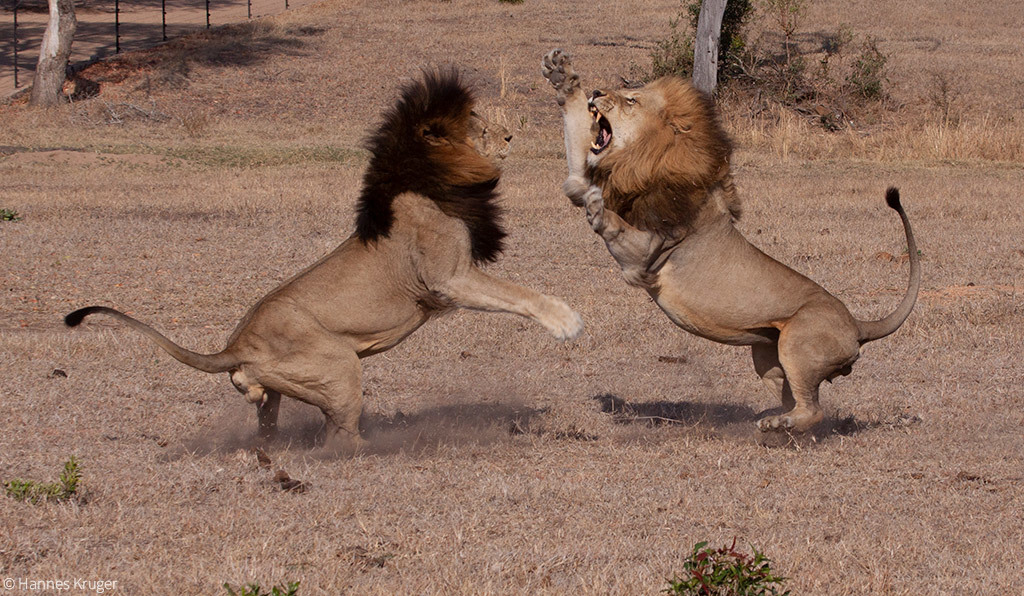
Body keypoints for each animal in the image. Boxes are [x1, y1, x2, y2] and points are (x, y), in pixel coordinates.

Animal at [68, 69, 585, 452]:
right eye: (478, 125)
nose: (511, 136)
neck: (429, 177)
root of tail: (236, 346)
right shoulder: (450, 277)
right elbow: (518, 294)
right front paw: (565, 321)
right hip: (340, 368)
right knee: (338, 440)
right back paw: (387, 447)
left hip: (276, 391)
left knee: (272, 426)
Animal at [544, 50, 921, 434]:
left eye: (631, 99)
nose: (596, 92)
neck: (640, 163)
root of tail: (857, 324)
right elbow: (576, 145)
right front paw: (563, 78)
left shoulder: (649, 254)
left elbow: (615, 223)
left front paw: (596, 206)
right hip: (768, 358)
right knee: (799, 400)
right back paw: (773, 419)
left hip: (797, 344)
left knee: (814, 409)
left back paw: (776, 425)